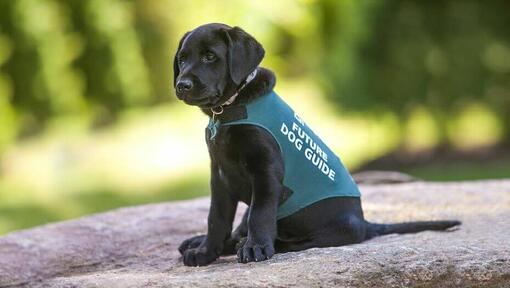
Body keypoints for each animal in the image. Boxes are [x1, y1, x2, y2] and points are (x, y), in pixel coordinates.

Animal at [173, 23, 460, 266]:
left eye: (210, 56)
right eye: (182, 59)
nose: (181, 85)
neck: (229, 109)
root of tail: (364, 222)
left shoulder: (266, 172)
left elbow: (260, 215)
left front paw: (255, 248)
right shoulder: (220, 177)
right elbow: (216, 218)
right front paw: (206, 251)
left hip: (337, 228)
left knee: (291, 241)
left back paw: (253, 243)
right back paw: (204, 242)